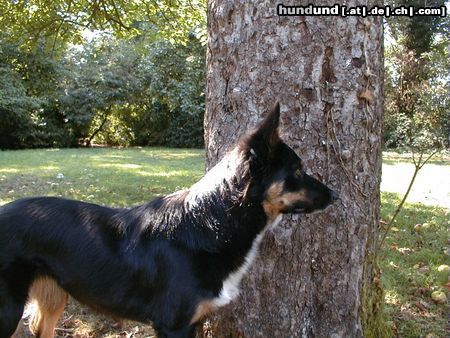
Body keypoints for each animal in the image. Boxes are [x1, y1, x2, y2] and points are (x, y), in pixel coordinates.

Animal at [0, 103, 338, 338]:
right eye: (297, 171)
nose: (335, 195)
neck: (212, 223)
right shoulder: (174, 324)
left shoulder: (194, 322)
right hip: (8, 309)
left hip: (52, 299)